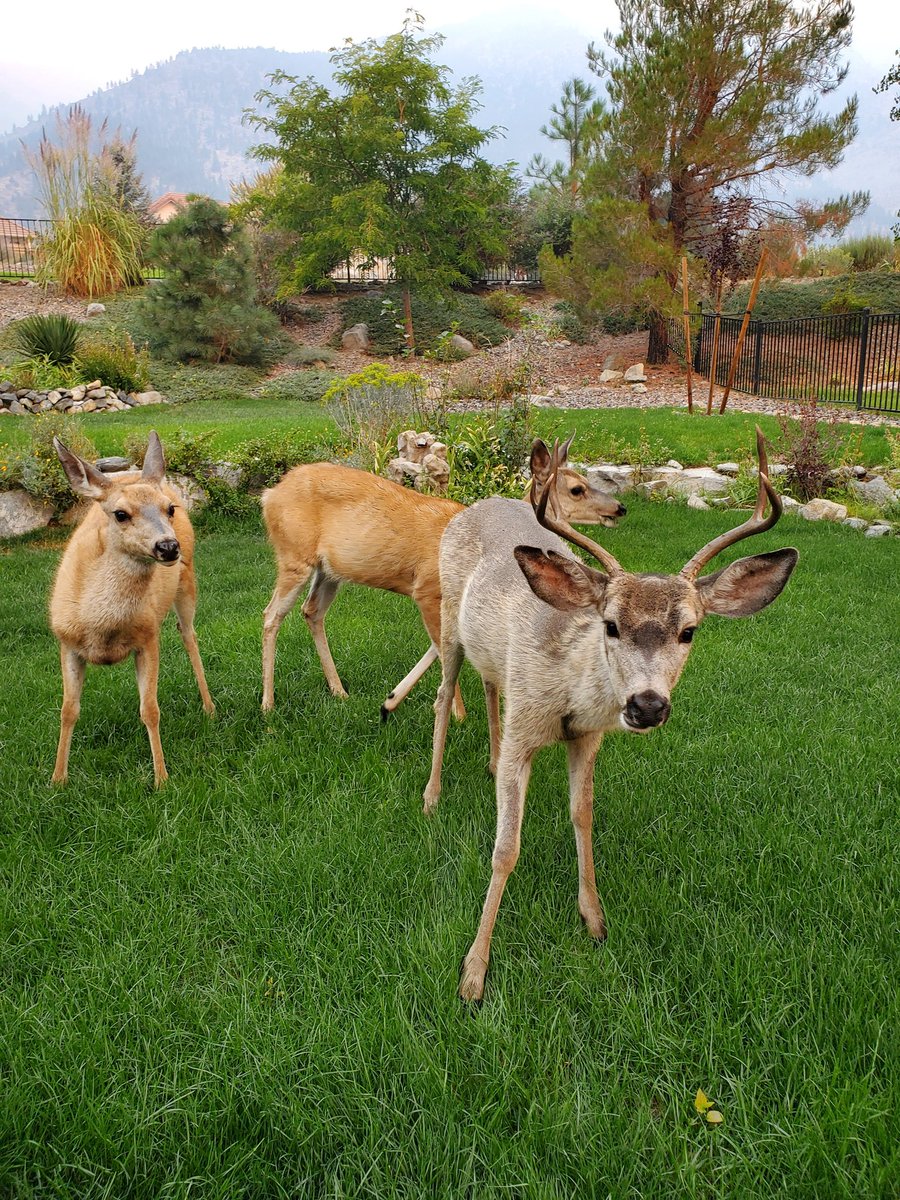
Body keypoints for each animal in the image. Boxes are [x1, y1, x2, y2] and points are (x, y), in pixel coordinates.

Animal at [49, 432, 215, 788]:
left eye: (169, 509)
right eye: (120, 514)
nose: (168, 546)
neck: (101, 627)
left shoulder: (149, 637)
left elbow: (150, 709)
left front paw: (162, 779)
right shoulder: (66, 642)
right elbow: (68, 710)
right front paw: (58, 779)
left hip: (188, 580)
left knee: (189, 635)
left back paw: (209, 707)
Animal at [261, 436, 626, 719]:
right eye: (577, 489)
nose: (620, 508)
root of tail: (268, 496)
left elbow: (441, 646)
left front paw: (390, 702)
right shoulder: (427, 589)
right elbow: (443, 649)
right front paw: (458, 714)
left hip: (328, 570)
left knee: (312, 611)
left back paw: (339, 691)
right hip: (293, 555)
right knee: (270, 615)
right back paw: (268, 703)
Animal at [422, 429, 798, 1002]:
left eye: (689, 631)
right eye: (612, 624)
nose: (647, 705)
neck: (567, 696)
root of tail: (475, 505)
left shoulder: (587, 738)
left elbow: (583, 815)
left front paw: (594, 919)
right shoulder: (524, 725)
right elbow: (505, 849)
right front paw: (473, 974)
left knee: (488, 686)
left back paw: (487, 761)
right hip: (447, 619)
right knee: (444, 695)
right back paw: (431, 794)